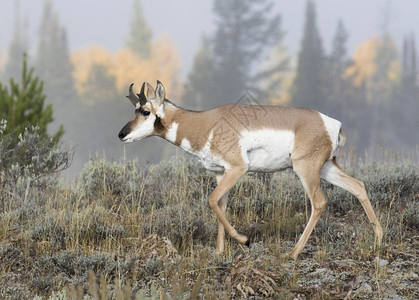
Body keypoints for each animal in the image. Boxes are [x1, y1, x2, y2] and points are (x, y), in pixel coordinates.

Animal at [118, 81, 384, 258]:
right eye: (134, 110)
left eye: (145, 111)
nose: (121, 134)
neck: (206, 124)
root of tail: (332, 123)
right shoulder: (220, 173)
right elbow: (220, 205)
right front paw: (219, 251)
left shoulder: (237, 168)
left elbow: (211, 200)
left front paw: (244, 240)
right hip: (327, 167)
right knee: (358, 186)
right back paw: (379, 238)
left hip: (305, 169)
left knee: (319, 202)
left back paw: (293, 253)